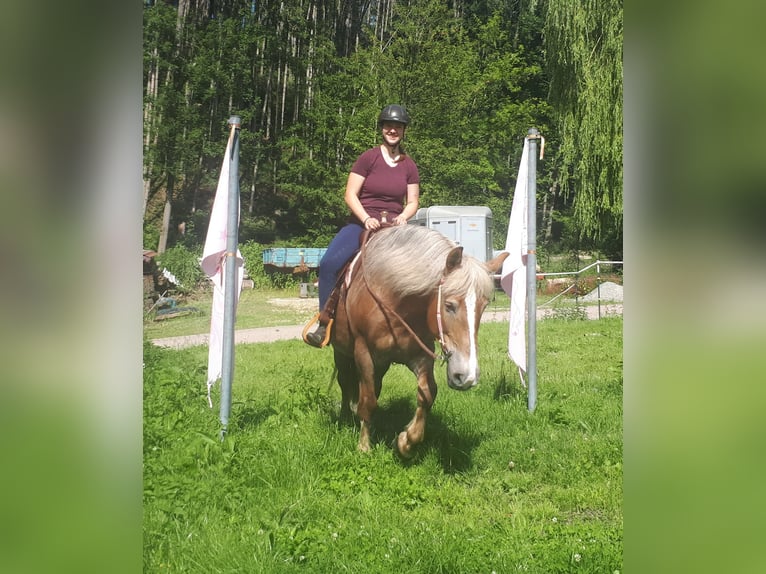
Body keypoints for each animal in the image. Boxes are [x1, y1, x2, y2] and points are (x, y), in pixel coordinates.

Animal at [330, 225, 510, 460]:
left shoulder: (421, 355)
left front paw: (406, 441)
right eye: (449, 305)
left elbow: (427, 393)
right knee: (345, 382)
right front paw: (364, 446)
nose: (467, 376)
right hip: (342, 352)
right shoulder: (363, 352)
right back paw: (344, 416)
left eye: (484, 307)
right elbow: (367, 400)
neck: (393, 303)